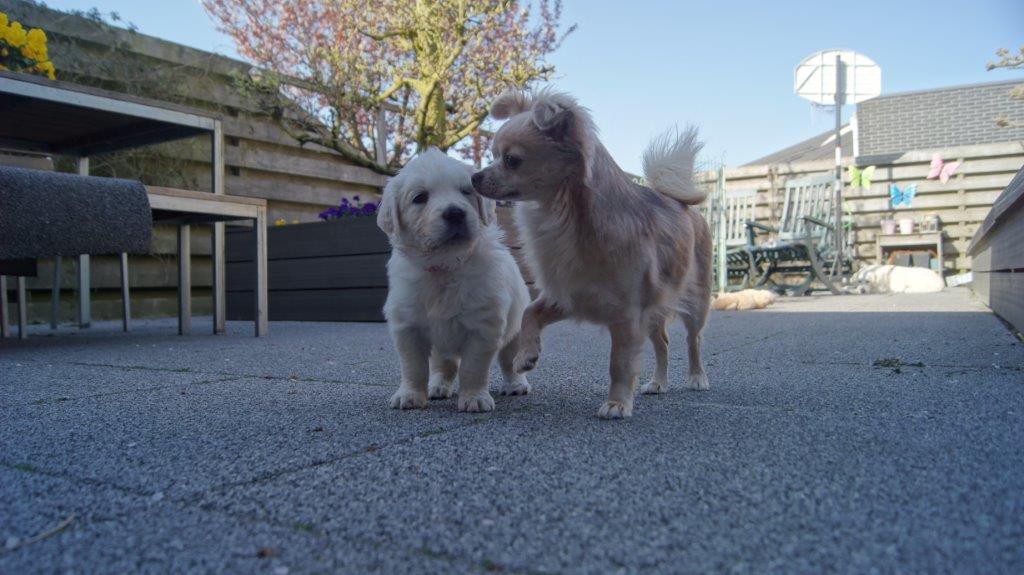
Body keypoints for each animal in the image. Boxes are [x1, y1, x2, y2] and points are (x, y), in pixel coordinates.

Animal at [378, 145, 536, 409]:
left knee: (509, 360)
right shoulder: (407, 326)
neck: (445, 266)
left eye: (466, 191)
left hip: (515, 328)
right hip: (442, 347)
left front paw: (474, 398)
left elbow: (473, 368)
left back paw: (516, 385)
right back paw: (438, 387)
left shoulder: (484, 326)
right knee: (445, 365)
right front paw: (409, 395)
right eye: (419, 197)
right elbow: (413, 367)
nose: (455, 213)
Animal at [471, 90, 712, 421]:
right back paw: (658, 383)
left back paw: (697, 376)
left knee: (693, 339)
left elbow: (619, 363)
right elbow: (529, 312)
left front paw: (617, 403)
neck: (564, 218)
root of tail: (682, 203)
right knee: (662, 343)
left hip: (695, 302)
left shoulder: (627, 316)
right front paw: (526, 356)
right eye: (493, 154)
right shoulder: (569, 295)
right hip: (653, 312)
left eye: (511, 160)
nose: (474, 176)